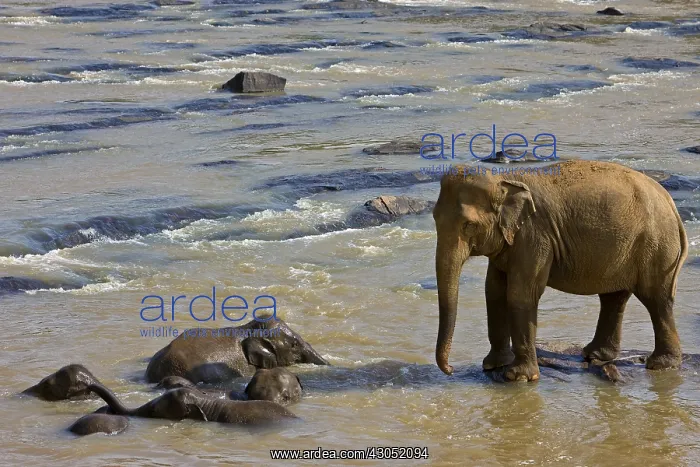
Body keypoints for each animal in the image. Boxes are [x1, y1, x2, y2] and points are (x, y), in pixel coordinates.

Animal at [432, 160, 688, 382]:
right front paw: (493, 365)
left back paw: (660, 365)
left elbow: (521, 294)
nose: (451, 369)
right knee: (614, 297)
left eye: (469, 225)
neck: (504, 180)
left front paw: (518, 377)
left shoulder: (535, 236)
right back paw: (595, 355)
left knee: (655, 299)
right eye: (434, 218)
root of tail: (671, 204)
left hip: (655, 245)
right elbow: (494, 292)